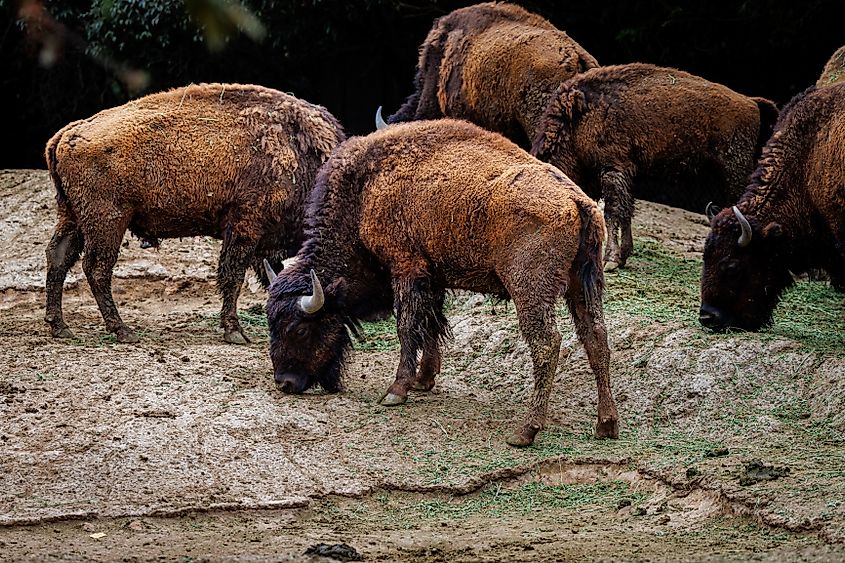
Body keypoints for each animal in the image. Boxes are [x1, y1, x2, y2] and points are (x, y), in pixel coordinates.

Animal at [45, 83, 344, 344]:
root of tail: (65, 134)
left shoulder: (259, 242)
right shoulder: (245, 227)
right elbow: (233, 275)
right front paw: (235, 332)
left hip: (72, 217)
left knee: (58, 257)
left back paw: (60, 327)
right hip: (108, 221)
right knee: (96, 268)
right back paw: (123, 331)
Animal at [265, 119, 619, 447]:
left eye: (299, 328)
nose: (284, 382)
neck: (365, 189)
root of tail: (577, 201)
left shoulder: (405, 267)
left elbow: (408, 326)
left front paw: (397, 390)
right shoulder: (430, 275)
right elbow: (431, 323)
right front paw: (424, 379)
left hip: (530, 290)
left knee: (547, 343)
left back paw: (525, 431)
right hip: (583, 285)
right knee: (596, 337)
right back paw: (606, 424)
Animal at [531, 62, 778, 270]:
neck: (577, 122)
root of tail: (752, 102)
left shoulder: (613, 168)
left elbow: (613, 212)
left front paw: (610, 261)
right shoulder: (626, 174)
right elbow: (625, 212)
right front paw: (622, 256)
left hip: (734, 169)